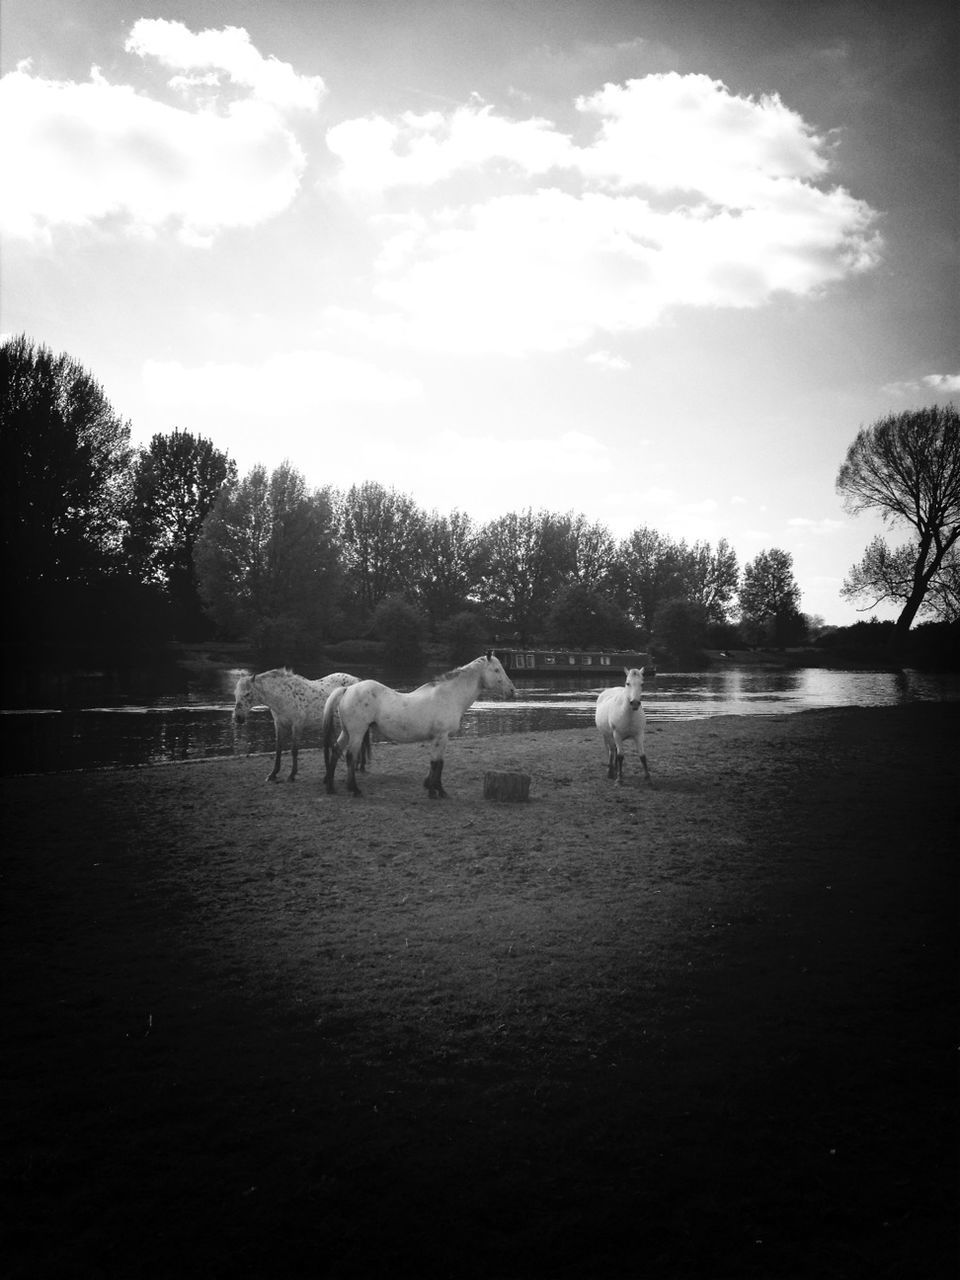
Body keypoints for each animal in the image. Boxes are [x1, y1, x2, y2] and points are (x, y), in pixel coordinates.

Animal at [231, 670, 371, 778]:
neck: (283, 697)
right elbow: (278, 749)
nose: (238, 717)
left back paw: (361, 766)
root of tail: (358, 681)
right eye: (235, 694)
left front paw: (292, 775)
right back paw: (358, 766)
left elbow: (294, 750)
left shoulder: (297, 726)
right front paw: (273, 774)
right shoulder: (279, 725)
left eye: (247, 693)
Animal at [323, 650, 519, 798]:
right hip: (357, 732)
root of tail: (347, 689)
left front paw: (435, 788)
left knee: (336, 751)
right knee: (350, 756)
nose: (512, 691)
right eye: (496, 670)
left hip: (347, 732)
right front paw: (434, 791)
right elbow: (436, 763)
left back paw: (331, 788)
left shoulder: (441, 738)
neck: (449, 696)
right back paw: (354, 789)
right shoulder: (441, 737)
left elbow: (439, 763)